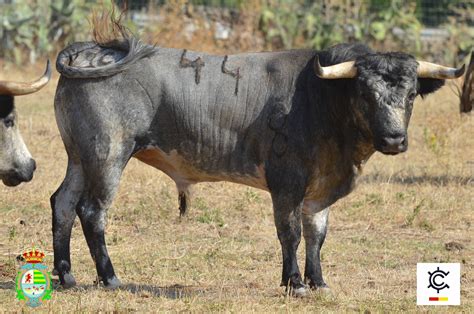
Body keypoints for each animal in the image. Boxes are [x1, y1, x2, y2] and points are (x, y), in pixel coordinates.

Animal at [51, 38, 462, 294]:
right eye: (364, 92)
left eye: (412, 95)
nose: (394, 140)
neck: (318, 97)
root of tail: (94, 50)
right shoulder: (286, 183)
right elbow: (290, 233)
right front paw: (295, 283)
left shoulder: (319, 189)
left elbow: (317, 234)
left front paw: (318, 281)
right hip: (108, 156)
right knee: (92, 211)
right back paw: (110, 278)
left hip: (79, 159)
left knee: (63, 204)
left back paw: (66, 275)